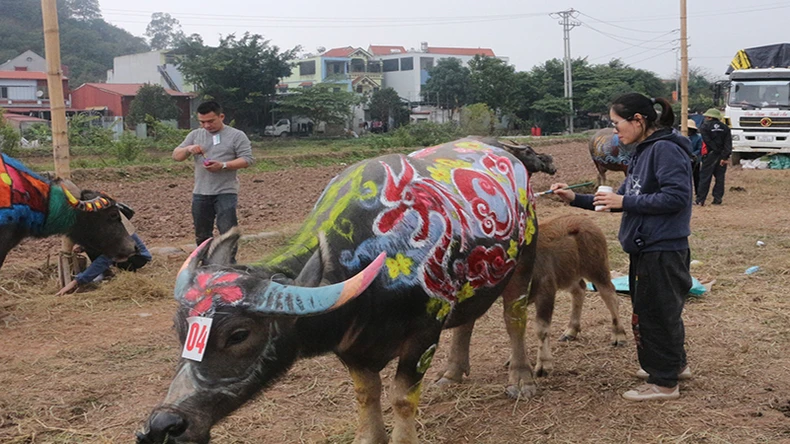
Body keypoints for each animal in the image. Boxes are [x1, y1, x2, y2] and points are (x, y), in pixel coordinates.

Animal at [136, 138, 556, 444]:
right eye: (180, 330)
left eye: (239, 334)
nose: (164, 425)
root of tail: (509, 152)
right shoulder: (351, 347)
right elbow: (367, 394)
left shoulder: (423, 333)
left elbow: (402, 398)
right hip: (469, 280)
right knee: (467, 319)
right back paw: (453, 373)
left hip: (523, 260)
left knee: (514, 318)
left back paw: (521, 379)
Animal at [528, 213, 628, 376]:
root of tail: (585, 220)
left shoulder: (546, 291)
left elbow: (542, 329)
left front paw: (543, 365)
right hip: (569, 275)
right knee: (579, 290)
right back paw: (571, 331)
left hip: (597, 269)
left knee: (610, 295)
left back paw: (619, 335)